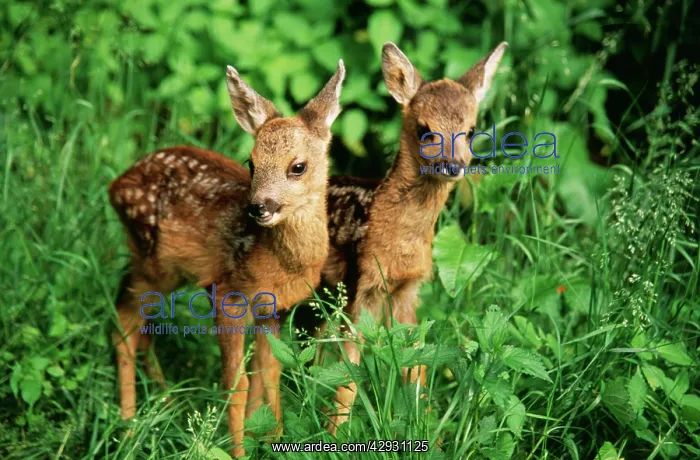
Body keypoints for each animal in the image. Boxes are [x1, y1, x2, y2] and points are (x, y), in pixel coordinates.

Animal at [109, 60, 345, 456]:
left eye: (297, 166)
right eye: (251, 162)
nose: (258, 207)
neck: (282, 264)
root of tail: (114, 186)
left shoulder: (274, 307)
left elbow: (269, 373)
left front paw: (274, 440)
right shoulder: (227, 294)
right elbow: (237, 385)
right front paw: (238, 451)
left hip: (163, 271)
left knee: (140, 326)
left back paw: (164, 403)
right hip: (153, 263)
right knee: (123, 323)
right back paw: (128, 426)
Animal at [321, 42, 508, 434]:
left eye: (471, 130)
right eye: (425, 130)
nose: (454, 166)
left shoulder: (407, 291)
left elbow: (416, 364)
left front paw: (426, 428)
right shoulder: (361, 286)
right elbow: (347, 376)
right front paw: (335, 434)